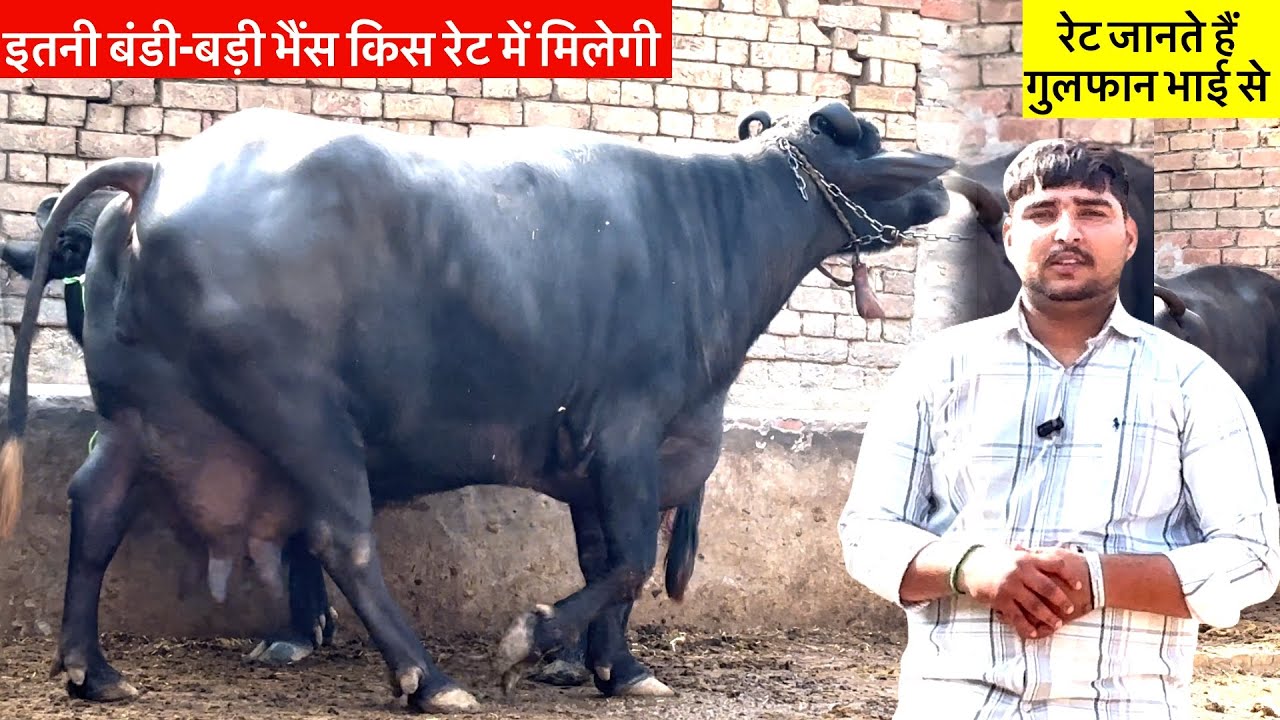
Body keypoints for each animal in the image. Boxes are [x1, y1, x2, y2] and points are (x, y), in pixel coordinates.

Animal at [0, 101, 952, 713]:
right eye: (864, 142)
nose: (940, 190)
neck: (713, 231)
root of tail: (158, 169)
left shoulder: (608, 454)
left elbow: (610, 560)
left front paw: (617, 667)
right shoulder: (629, 434)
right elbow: (629, 562)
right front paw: (534, 641)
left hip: (141, 413)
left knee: (96, 507)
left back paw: (91, 669)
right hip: (300, 410)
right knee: (340, 537)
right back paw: (430, 679)